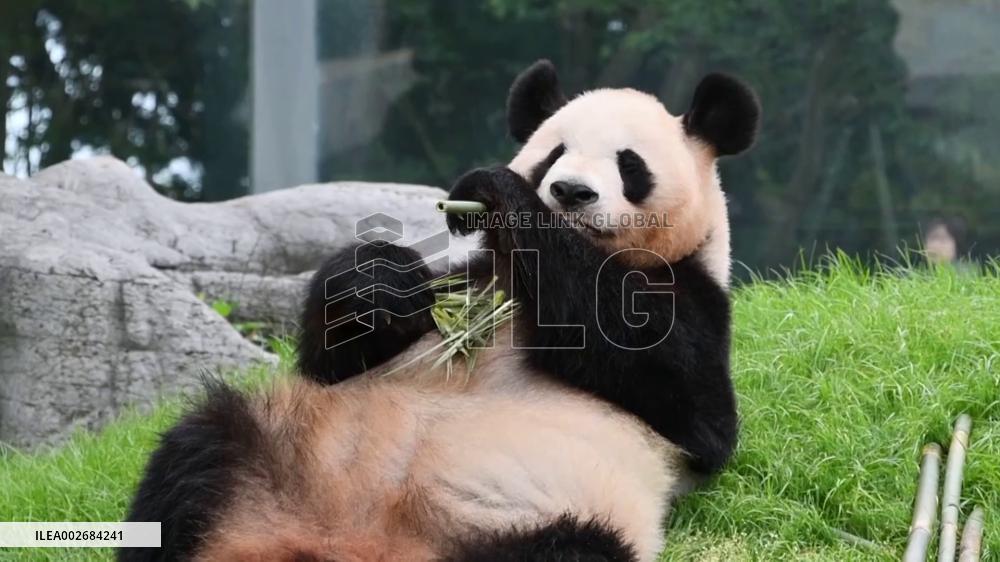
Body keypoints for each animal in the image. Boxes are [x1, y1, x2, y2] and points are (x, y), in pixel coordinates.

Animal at [120, 60, 760, 562]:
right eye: (555, 153)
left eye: (629, 165)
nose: (570, 191)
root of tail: (347, 546)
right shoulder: (472, 278)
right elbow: (338, 359)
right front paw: (380, 280)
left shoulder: (696, 303)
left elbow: (678, 386)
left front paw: (496, 192)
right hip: (282, 452)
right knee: (195, 458)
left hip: (547, 518)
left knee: (569, 549)